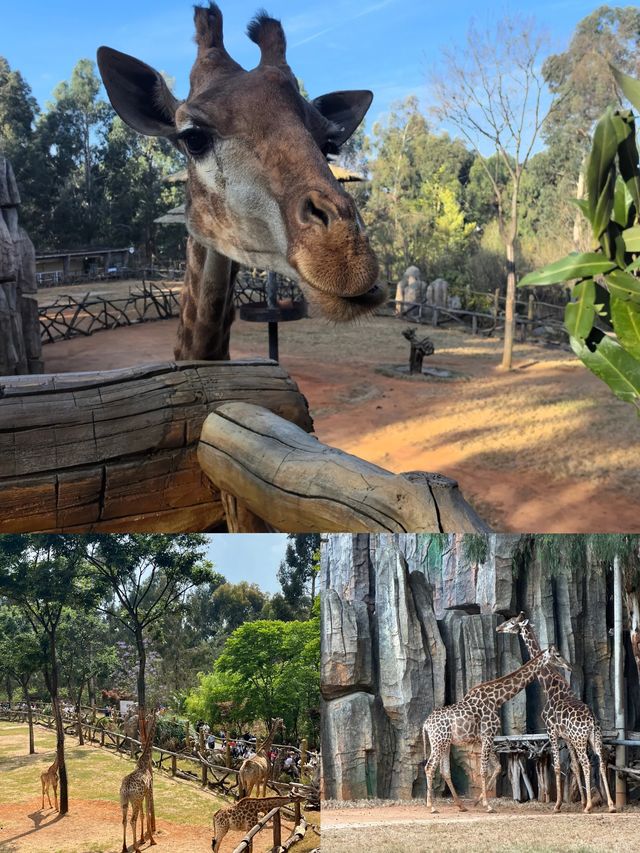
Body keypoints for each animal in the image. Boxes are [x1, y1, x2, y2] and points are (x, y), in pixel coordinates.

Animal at [121, 712, 159, 852]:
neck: (144, 762)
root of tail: (126, 788)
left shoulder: (141, 795)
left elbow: (143, 814)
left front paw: (143, 839)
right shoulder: (149, 790)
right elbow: (148, 813)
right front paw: (152, 841)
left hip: (125, 800)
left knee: (124, 820)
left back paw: (125, 847)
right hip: (135, 799)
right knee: (132, 820)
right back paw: (136, 849)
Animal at [422, 644, 568, 812]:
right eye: (558, 655)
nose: (568, 666)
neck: (497, 699)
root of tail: (426, 724)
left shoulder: (484, 738)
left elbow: (497, 767)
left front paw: (477, 801)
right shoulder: (488, 734)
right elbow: (484, 770)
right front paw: (488, 805)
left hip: (445, 743)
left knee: (444, 771)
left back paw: (460, 805)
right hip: (439, 742)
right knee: (430, 767)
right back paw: (431, 806)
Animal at [496, 612, 616, 812]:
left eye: (512, 623)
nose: (498, 628)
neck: (550, 686)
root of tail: (592, 721)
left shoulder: (551, 731)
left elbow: (558, 765)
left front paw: (558, 804)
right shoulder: (566, 737)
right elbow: (573, 766)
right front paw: (580, 801)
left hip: (580, 739)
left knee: (587, 763)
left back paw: (589, 806)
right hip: (593, 738)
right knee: (599, 761)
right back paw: (611, 805)